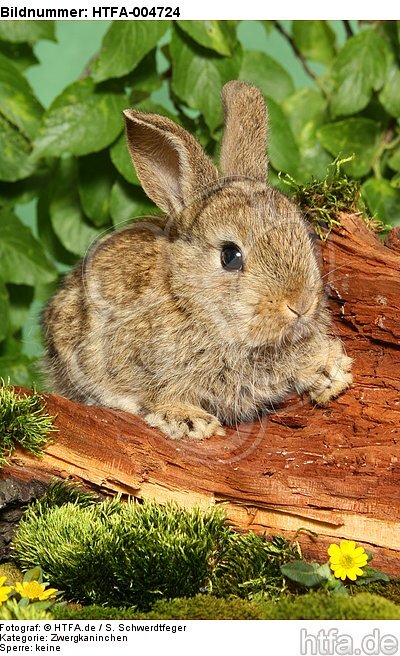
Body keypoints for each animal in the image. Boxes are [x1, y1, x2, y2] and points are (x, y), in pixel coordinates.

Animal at [42, 82, 352, 440]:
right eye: (230, 256)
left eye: (305, 233)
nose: (299, 304)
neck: (190, 301)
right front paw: (188, 421)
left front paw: (333, 371)